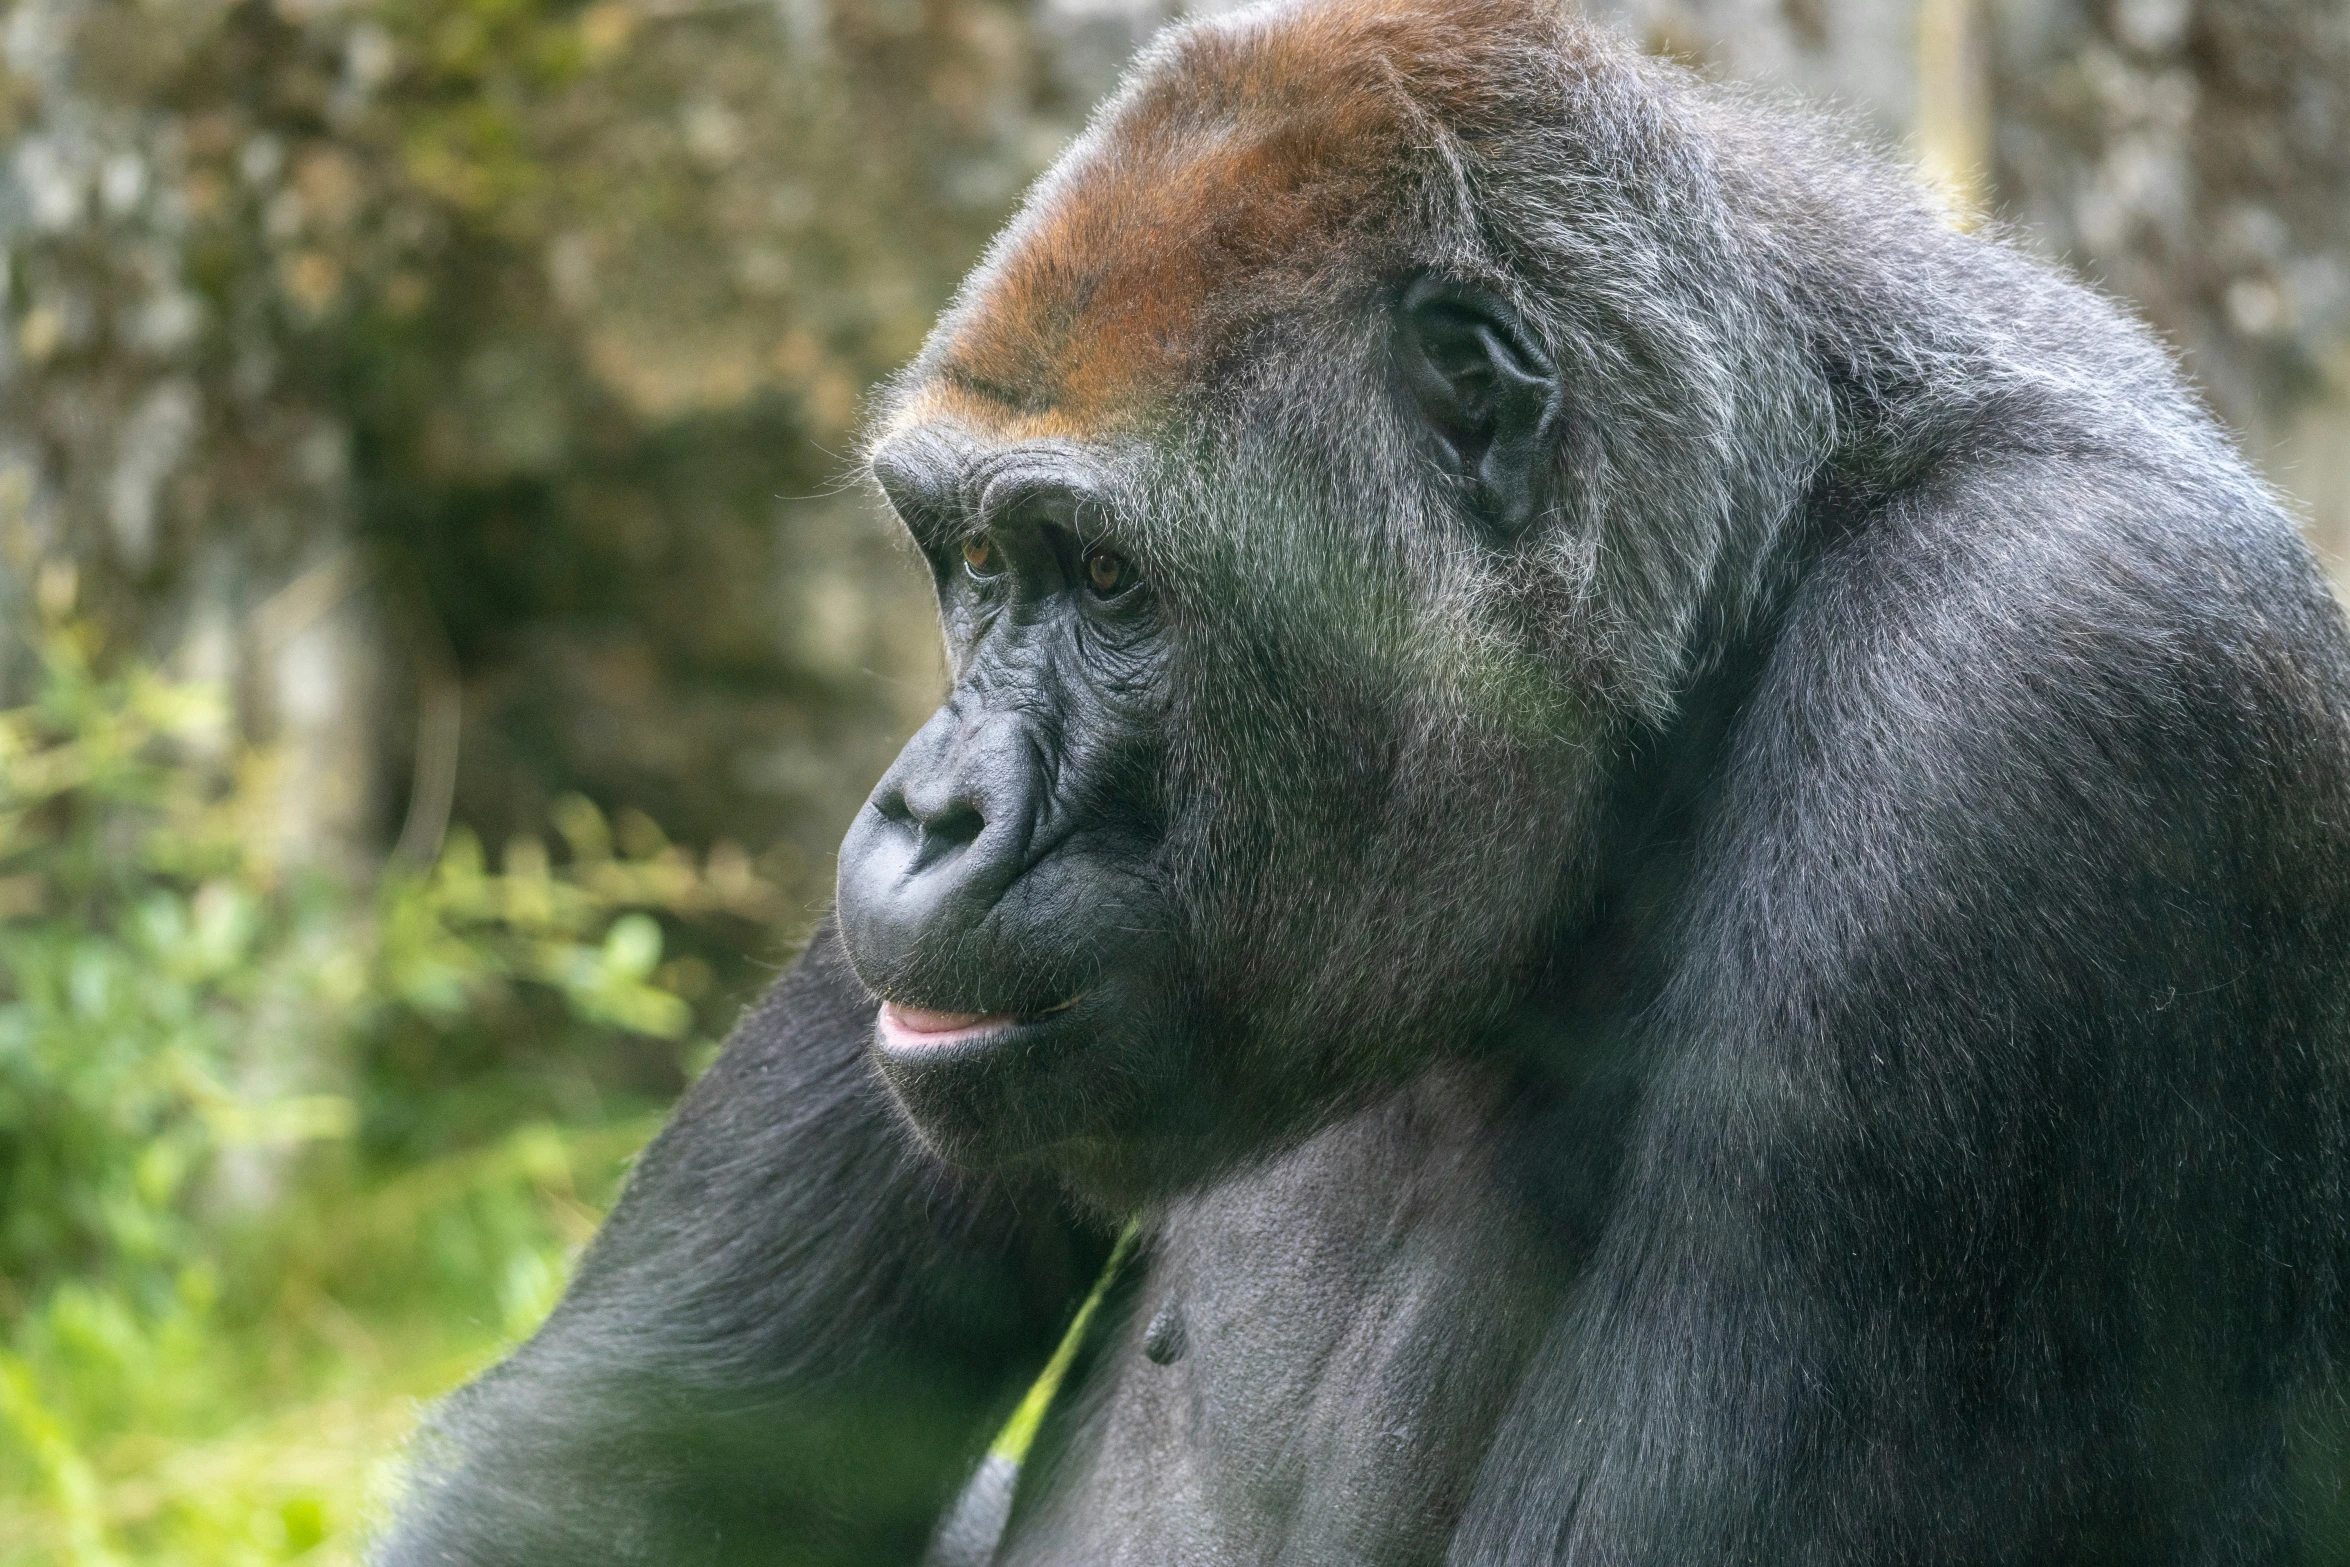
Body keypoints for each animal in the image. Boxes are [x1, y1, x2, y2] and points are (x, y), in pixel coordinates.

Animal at [376, 3, 2350, 1567]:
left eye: (1109, 579)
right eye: (976, 565)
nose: (927, 810)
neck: (1751, 553)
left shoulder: (2031, 689)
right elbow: (616, 1468)